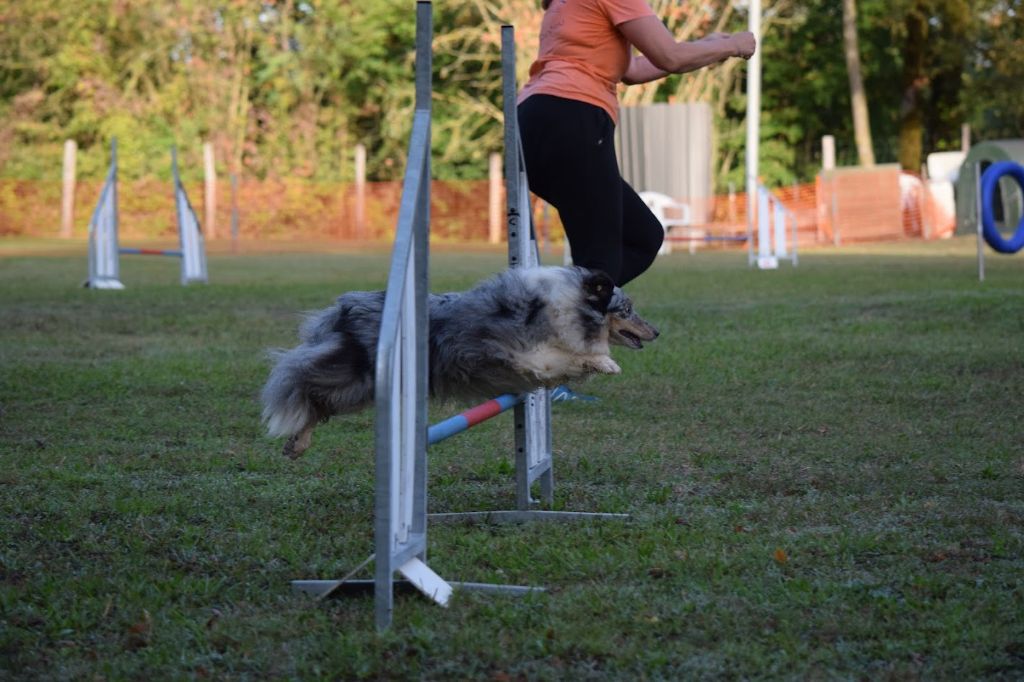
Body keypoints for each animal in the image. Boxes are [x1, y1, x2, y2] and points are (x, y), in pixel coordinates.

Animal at [260, 266, 659, 456]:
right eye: (627, 309)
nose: (656, 331)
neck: (570, 304)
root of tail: (345, 307)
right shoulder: (527, 355)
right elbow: (572, 356)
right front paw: (604, 362)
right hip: (356, 379)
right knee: (305, 387)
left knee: (317, 401)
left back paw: (297, 444)